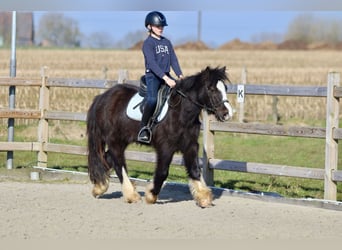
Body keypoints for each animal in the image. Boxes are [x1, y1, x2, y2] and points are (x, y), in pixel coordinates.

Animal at [87, 66, 234, 207]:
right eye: (211, 88)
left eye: (225, 88)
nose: (227, 113)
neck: (181, 112)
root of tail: (102, 97)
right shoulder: (165, 147)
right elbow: (163, 172)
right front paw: (151, 195)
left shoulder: (190, 145)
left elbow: (195, 170)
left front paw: (203, 198)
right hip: (115, 141)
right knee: (118, 164)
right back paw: (131, 195)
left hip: (122, 140)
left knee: (107, 158)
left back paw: (99, 187)